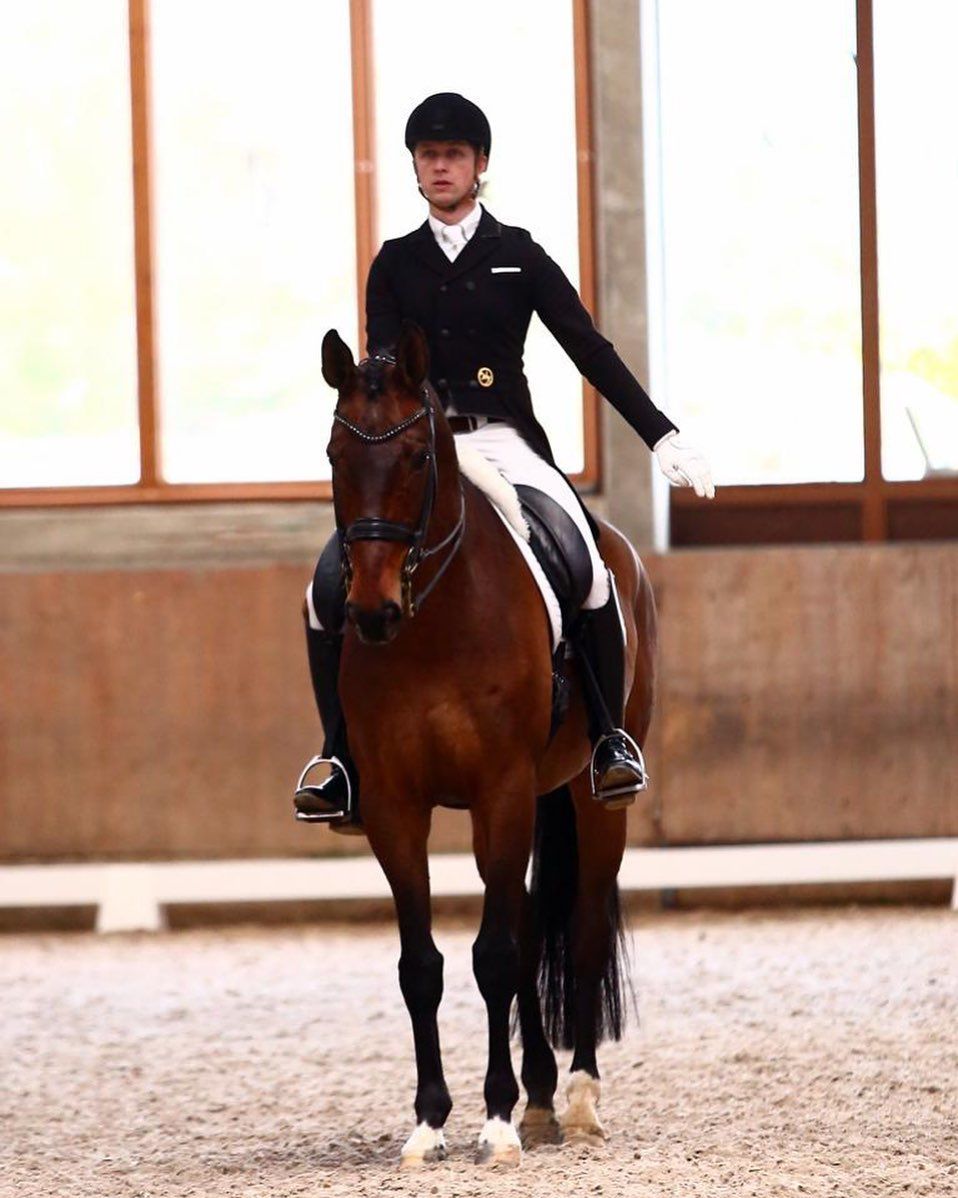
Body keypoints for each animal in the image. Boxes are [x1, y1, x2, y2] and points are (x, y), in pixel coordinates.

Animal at [317, 323, 657, 1168]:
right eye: (335, 454)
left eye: (415, 458)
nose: (371, 611)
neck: (433, 621)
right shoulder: (397, 809)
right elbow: (423, 966)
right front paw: (431, 1121)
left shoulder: (500, 788)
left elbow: (495, 955)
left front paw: (495, 1118)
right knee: (532, 922)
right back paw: (539, 1097)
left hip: (585, 796)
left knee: (581, 927)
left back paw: (577, 1101)